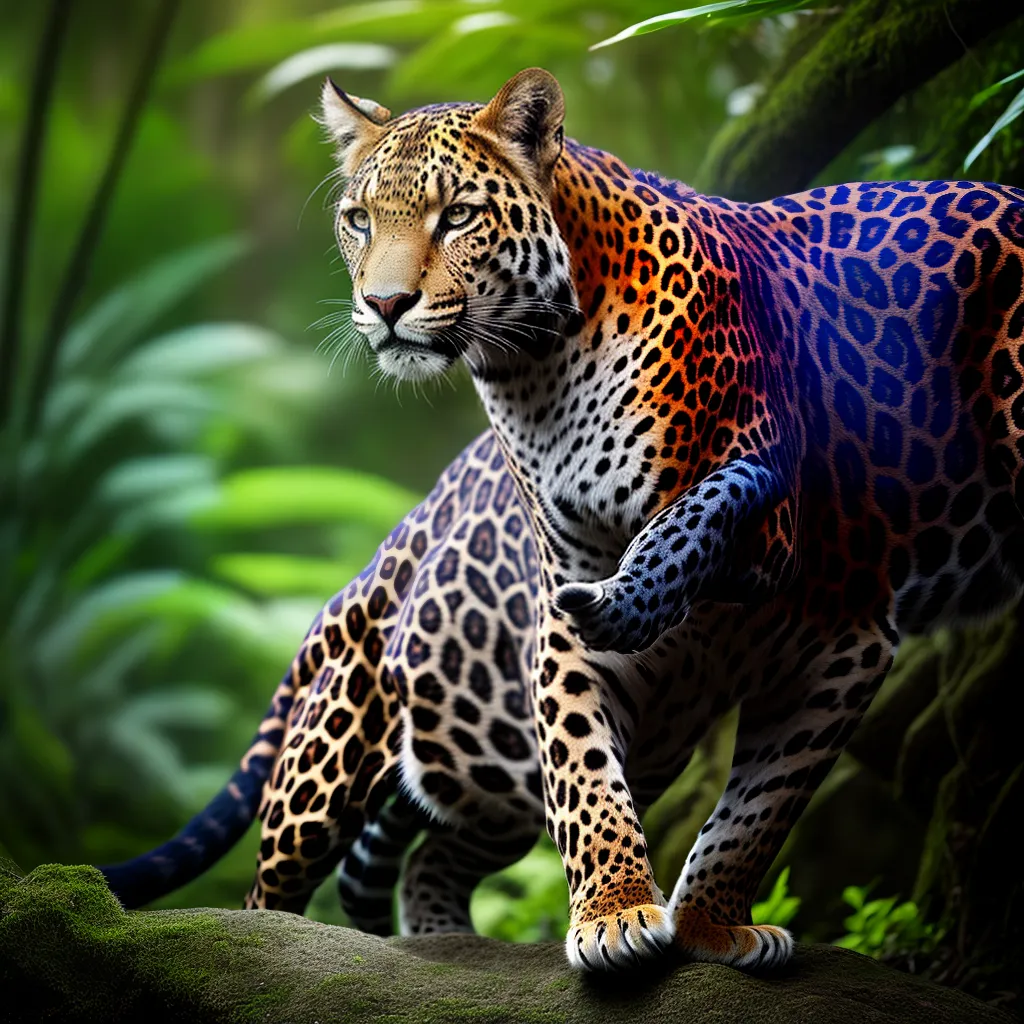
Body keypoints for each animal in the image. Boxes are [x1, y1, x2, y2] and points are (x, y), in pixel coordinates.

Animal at [319, 65, 1024, 974]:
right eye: (359, 219)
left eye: (459, 215)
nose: (385, 303)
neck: (537, 372)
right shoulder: (565, 598)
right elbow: (585, 775)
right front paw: (619, 914)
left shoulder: (817, 586)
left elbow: (759, 799)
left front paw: (708, 922)